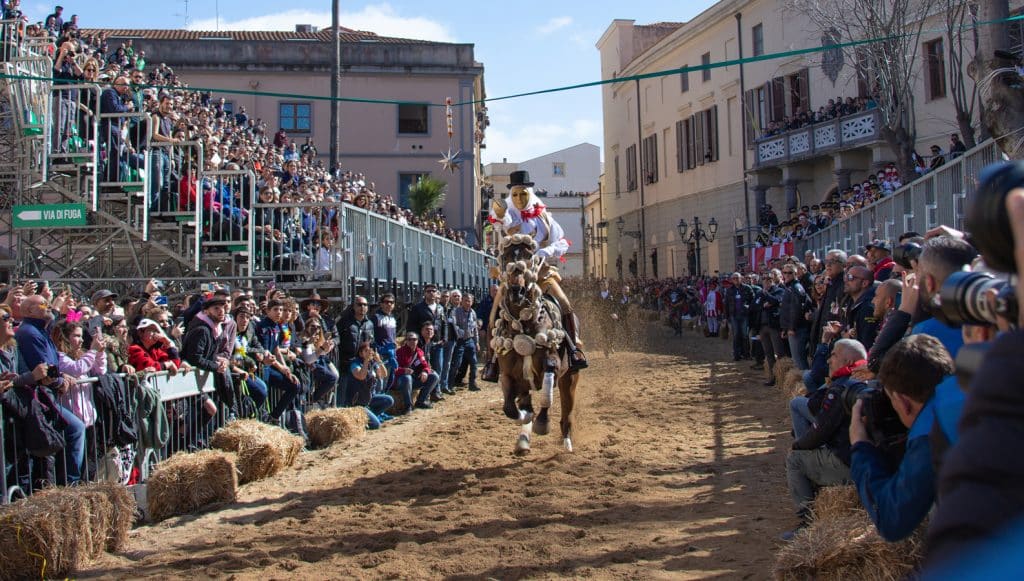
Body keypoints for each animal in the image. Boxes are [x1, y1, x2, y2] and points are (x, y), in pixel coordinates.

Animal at [491, 234, 581, 457]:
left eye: (529, 256)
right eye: (506, 257)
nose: (517, 291)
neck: (524, 325)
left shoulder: (552, 363)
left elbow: (546, 396)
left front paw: (542, 422)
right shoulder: (509, 373)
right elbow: (510, 408)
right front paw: (525, 419)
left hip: (570, 378)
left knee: (567, 413)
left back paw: (567, 443)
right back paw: (523, 440)